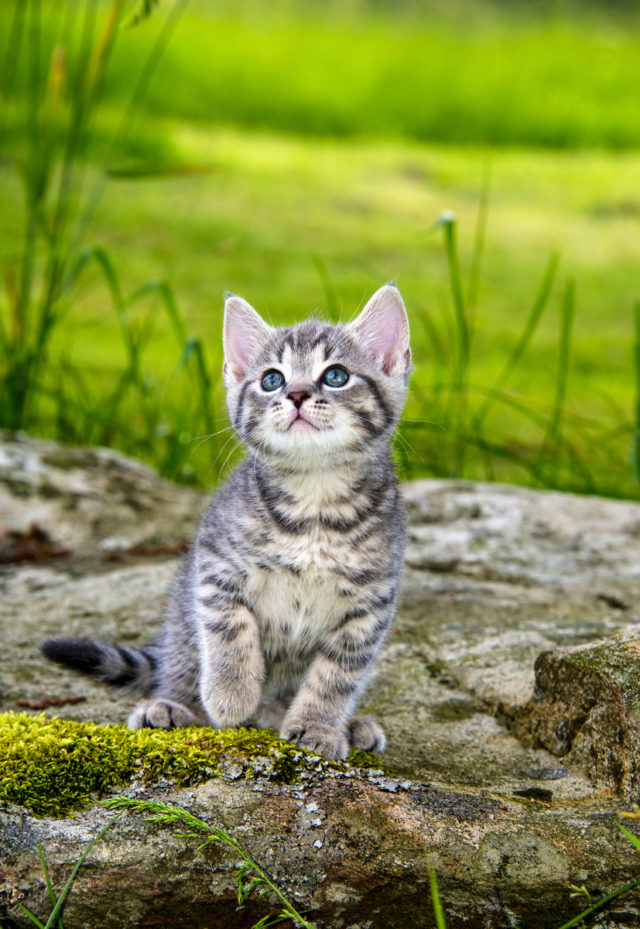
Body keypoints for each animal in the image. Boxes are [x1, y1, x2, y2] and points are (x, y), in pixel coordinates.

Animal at [41, 284, 410, 760]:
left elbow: (337, 674)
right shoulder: (216, 563)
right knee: (179, 665)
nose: (296, 395)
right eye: (272, 379)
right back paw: (170, 706)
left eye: (336, 376)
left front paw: (317, 726)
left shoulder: (370, 605)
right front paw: (230, 694)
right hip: (181, 623)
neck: (314, 499)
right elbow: (229, 628)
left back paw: (346, 725)